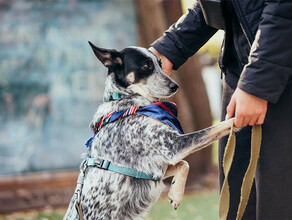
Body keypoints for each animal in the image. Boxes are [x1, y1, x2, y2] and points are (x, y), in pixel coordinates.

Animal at [64, 41, 235, 220]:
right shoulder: (172, 146)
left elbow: (185, 164)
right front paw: (239, 116)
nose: (175, 86)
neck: (128, 101)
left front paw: (175, 193)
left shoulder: (158, 167)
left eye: (160, 64)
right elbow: (218, 126)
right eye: (146, 65)